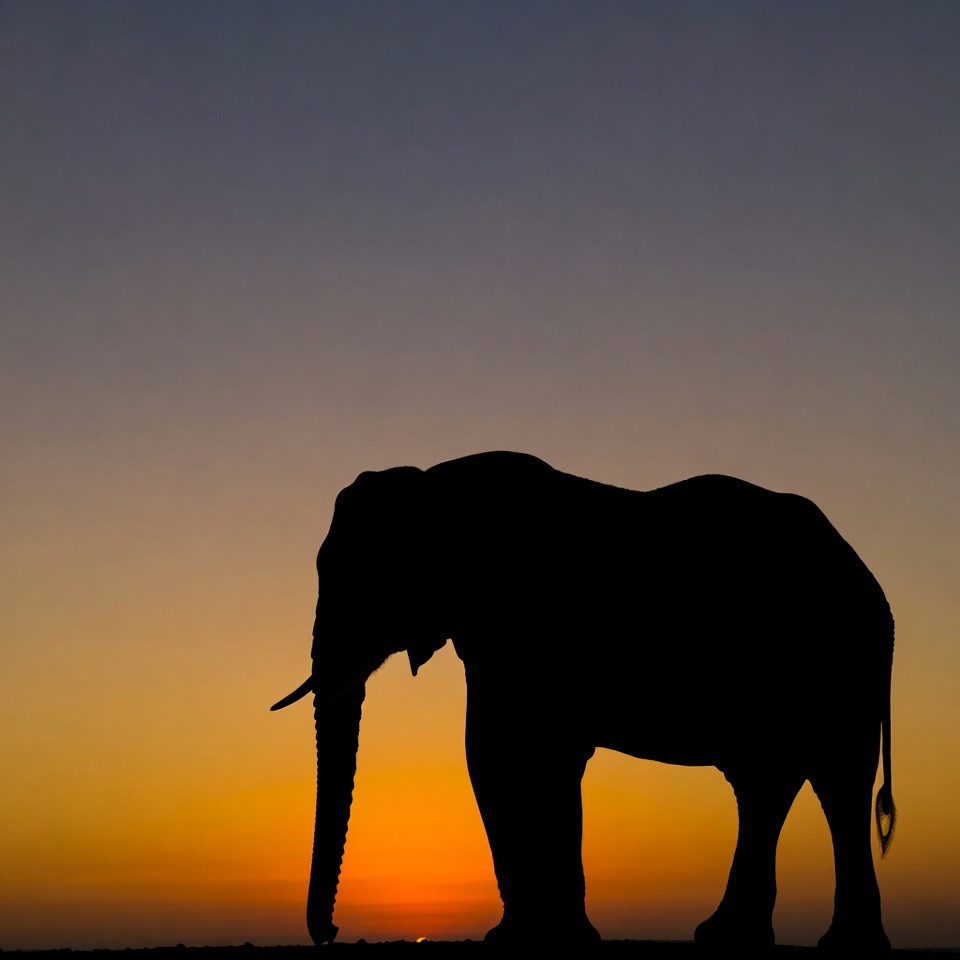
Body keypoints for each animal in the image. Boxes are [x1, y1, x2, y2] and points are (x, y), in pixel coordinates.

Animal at [272, 451, 895, 949]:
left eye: (371, 575)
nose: (330, 933)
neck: (435, 484)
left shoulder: (533, 627)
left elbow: (521, 755)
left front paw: (543, 936)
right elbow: (501, 755)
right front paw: (531, 935)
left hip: (843, 662)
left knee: (836, 779)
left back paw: (842, 943)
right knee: (766, 781)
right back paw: (733, 936)